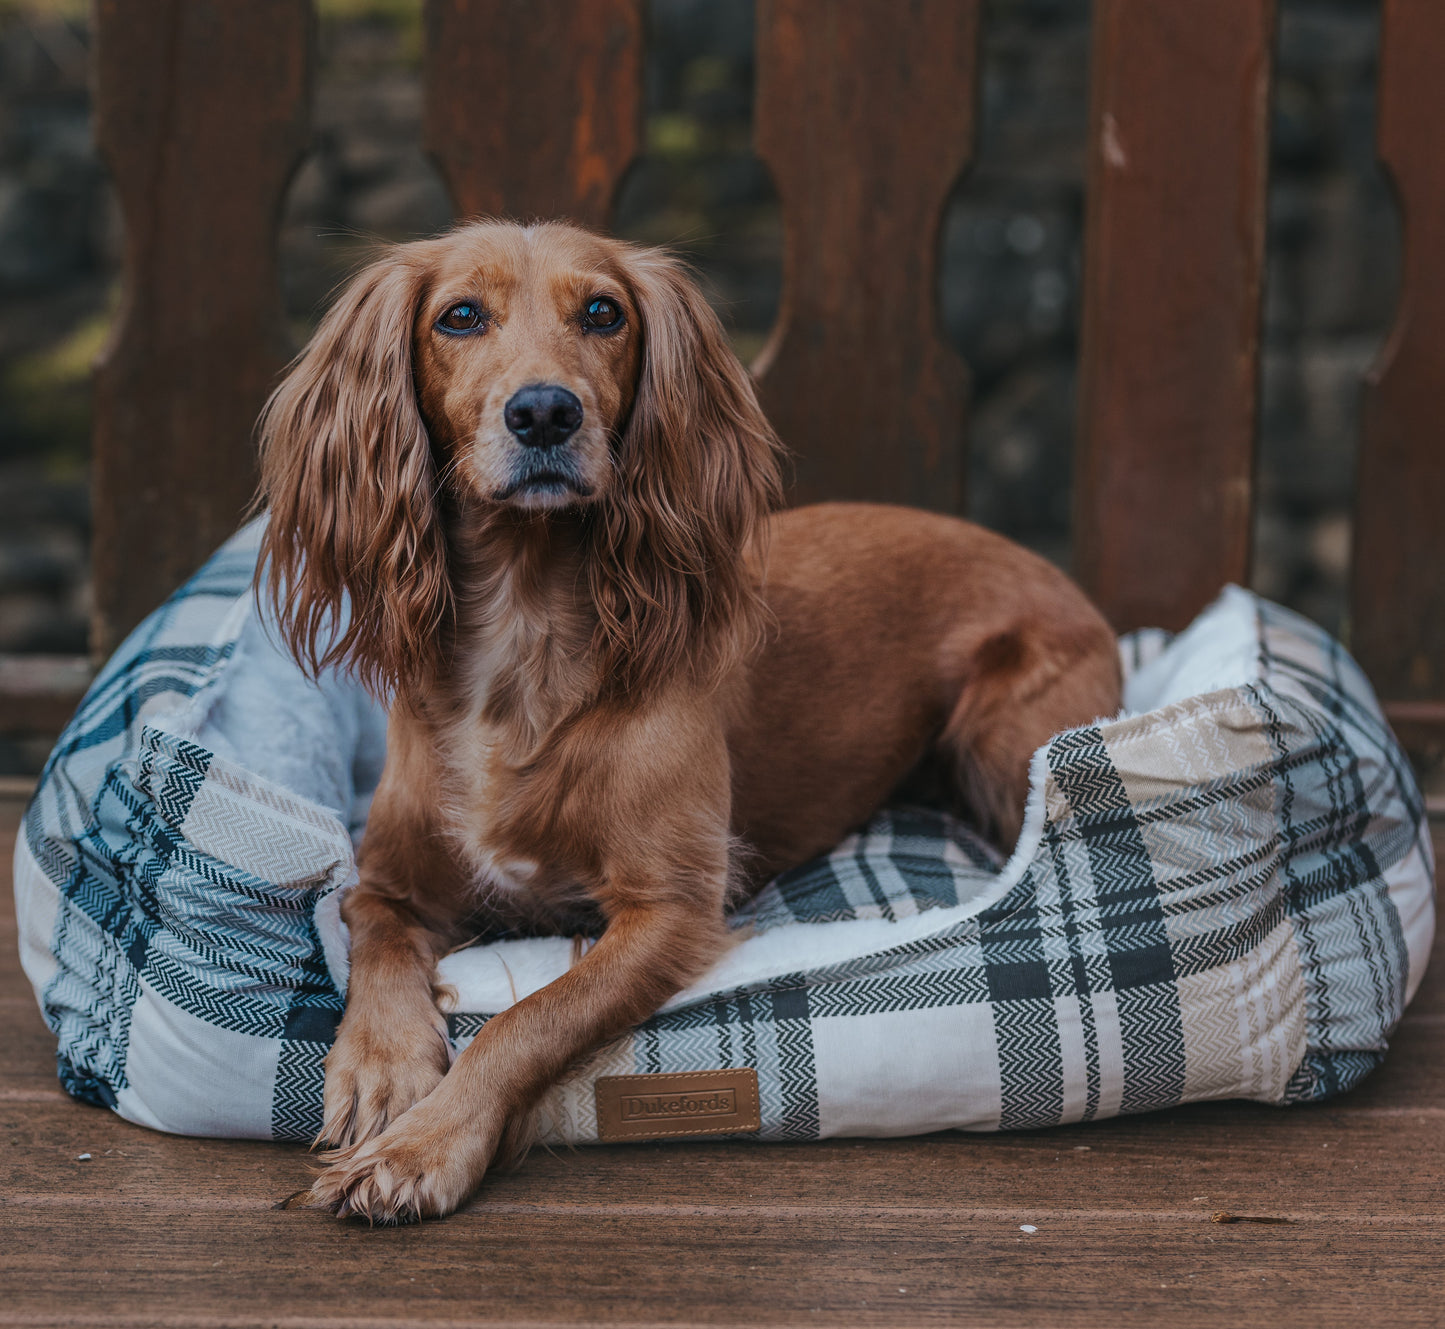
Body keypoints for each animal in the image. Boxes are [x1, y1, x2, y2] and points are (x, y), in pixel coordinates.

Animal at [257, 221, 1115, 1224]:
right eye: (459, 316)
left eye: (603, 312)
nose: (544, 412)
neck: (525, 637)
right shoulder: (391, 876)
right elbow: (373, 936)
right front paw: (381, 1072)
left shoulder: (668, 910)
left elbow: (524, 1018)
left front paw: (423, 1146)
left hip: (1001, 743)